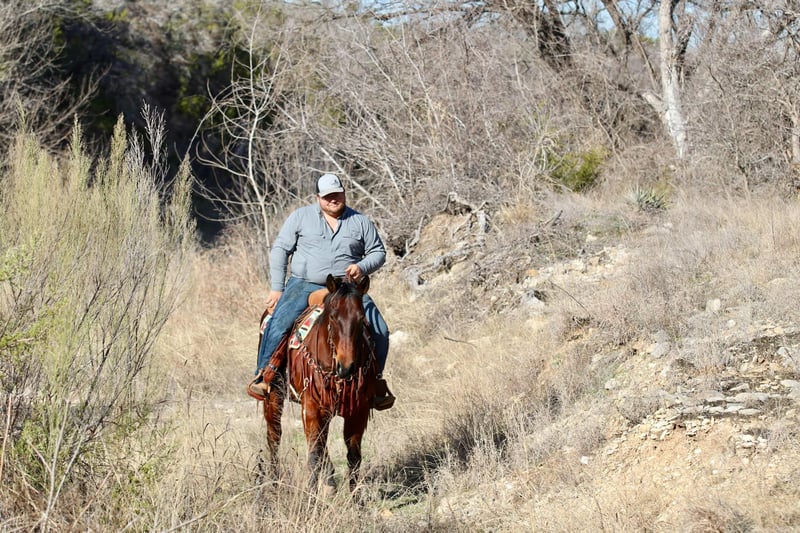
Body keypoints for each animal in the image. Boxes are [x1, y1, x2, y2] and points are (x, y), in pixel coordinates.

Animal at [261, 274, 379, 491]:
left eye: (361, 319)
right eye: (333, 316)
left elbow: (354, 455)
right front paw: (312, 494)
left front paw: (355, 496)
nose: (346, 366)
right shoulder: (311, 408)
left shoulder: (358, 410)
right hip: (273, 397)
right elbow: (314, 454)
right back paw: (274, 482)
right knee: (274, 436)